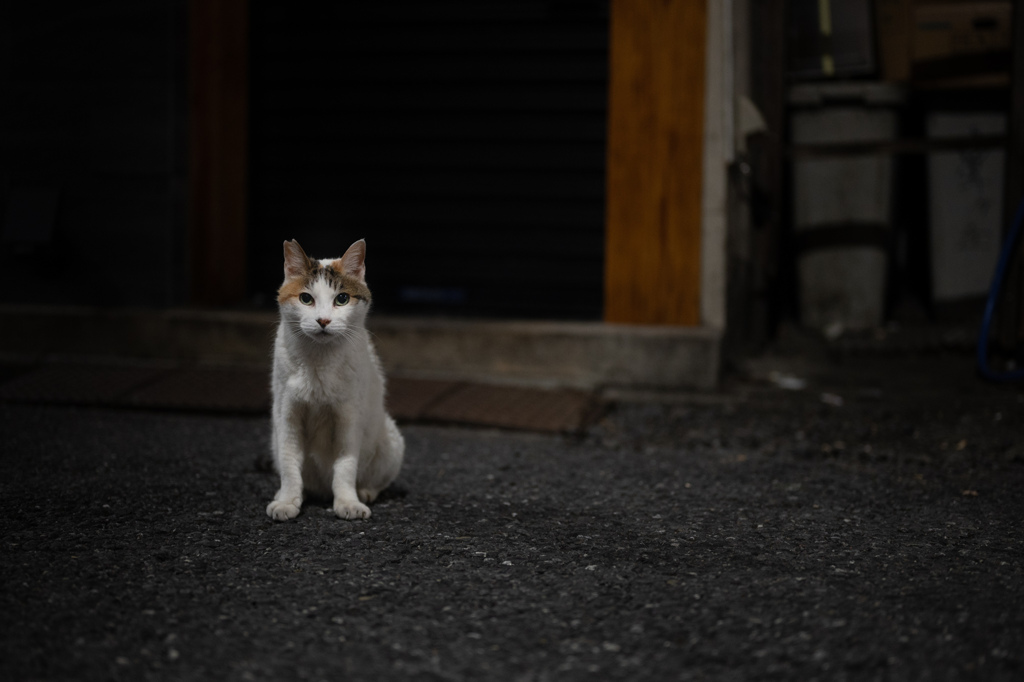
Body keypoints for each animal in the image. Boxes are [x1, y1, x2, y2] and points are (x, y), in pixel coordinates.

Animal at [268, 238, 403, 520]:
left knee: (377, 480)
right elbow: (289, 463)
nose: (323, 320)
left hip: (391, 444)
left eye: (341, 299)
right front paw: (287, 501)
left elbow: (346, 466)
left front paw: (348, 503)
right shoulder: (287, 414)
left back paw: (365, 492)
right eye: (306, 298)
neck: (319, 362)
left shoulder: (349, 417)